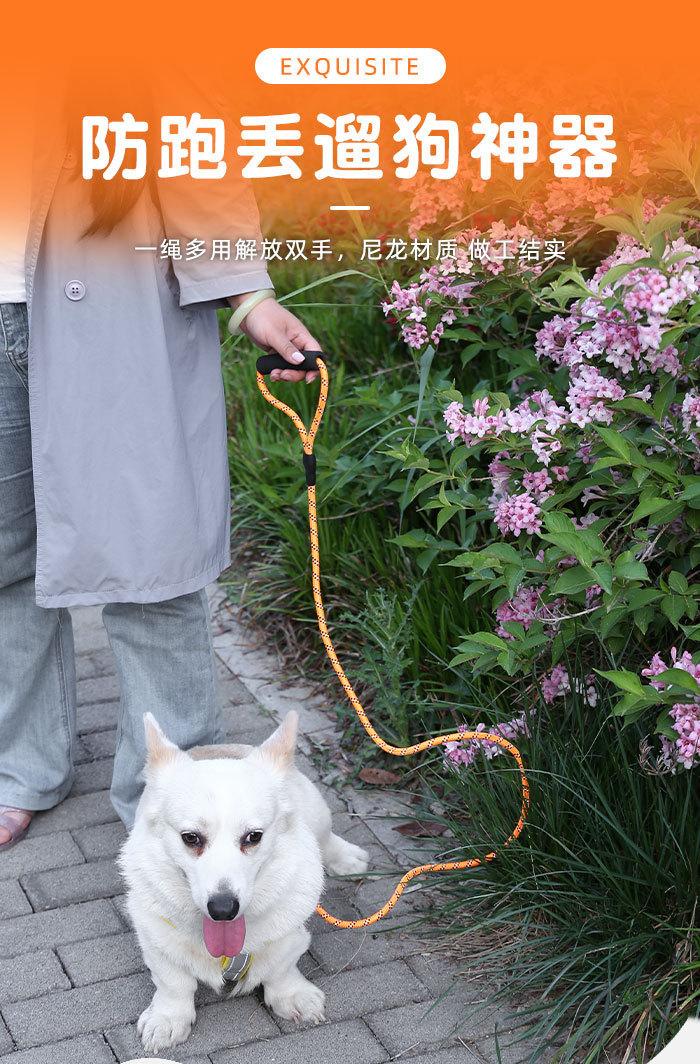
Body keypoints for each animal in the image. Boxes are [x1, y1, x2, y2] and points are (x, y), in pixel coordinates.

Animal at [119, 710, 369, 1054]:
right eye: (190, 838)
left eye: (254, 837)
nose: (223, 909)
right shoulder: (156, 939)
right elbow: (173, 982)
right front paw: (168, 1019)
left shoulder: (289, 934)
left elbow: (281, 969)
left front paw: (293, 996)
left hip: (317, 811)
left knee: (326, 837)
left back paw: (346, 858)